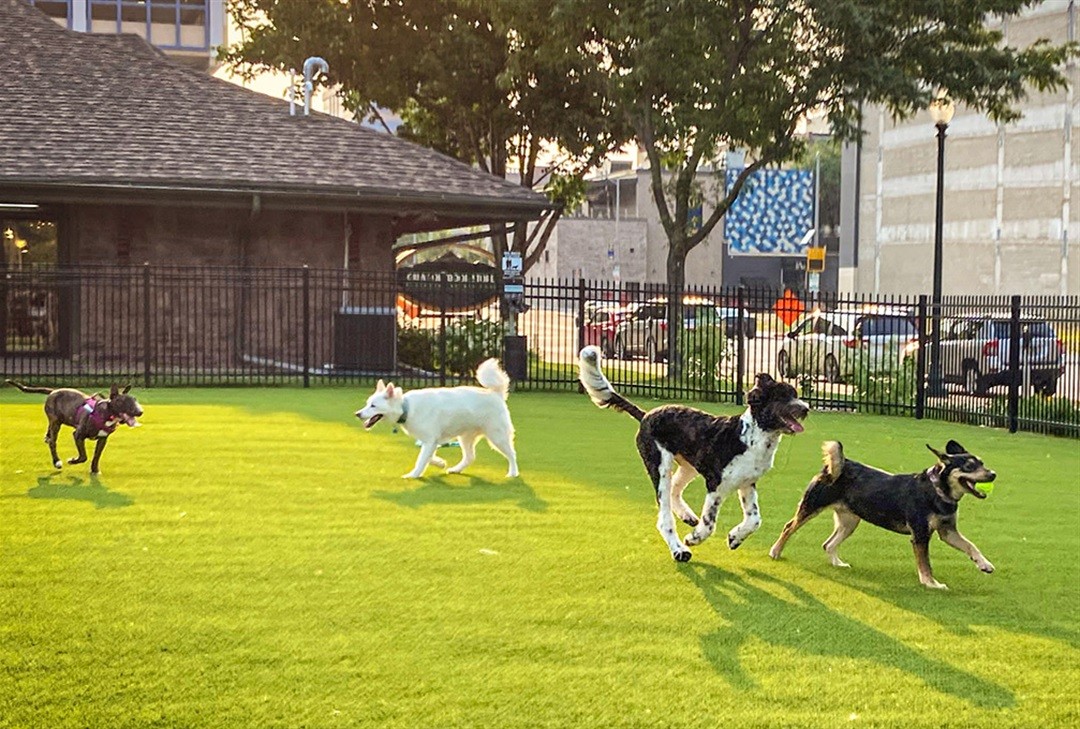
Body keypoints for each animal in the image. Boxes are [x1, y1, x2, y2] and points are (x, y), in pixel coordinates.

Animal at [5, 380, 142, 475]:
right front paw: (72, 460)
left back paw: (47, 439)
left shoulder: (103, 439)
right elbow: (83, 456)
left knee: (49, 436)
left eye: (135, 400)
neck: (106, 414)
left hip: (55, 421)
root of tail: (53, 391)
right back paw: (57, 461)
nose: (140, 411)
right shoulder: (78, 435)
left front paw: (95, 470)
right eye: (124, 401)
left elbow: (96, 456)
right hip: (56, 422)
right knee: (53, 442)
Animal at [354, 358, 518, 479]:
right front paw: (440, 463)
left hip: (497, 437)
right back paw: (456, 469)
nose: (357, 414)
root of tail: (496, 394)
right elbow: (428, 457)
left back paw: (513, 473)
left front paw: (413, 475)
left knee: (512, 454)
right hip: (465, 438)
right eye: (367, 404)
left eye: (373, 406)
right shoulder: (430, 442)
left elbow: (421, 460)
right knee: (470, 457)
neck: (407, 407)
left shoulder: (430, 440)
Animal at [578, 345, 807, 561]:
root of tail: (646, 415)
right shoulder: (715, 485)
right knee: (664, 518)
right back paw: (679, 550)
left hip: (688, 466)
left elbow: (754, 520)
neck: (750, 437)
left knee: (675, 490)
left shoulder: (747, 483)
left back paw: (687, 516)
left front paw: (734, 538)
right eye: (782, 397)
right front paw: (694, 538)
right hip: (660, 467)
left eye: (795, 395)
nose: (806, 408)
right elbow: (709, 524)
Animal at [768, 442, 993, 591]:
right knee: (789, 527)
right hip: (812, 506)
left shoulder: (948, 532)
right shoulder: (920, 536)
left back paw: (837, 563)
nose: (993, 474)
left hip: (850, 521)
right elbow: (926, 564)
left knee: (828, 544)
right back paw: (776, 551)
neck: (937, 490)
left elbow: (971, 546)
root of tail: (841, 464)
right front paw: (931, 583)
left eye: (982, 463)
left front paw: (984, 564)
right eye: (969, 466)